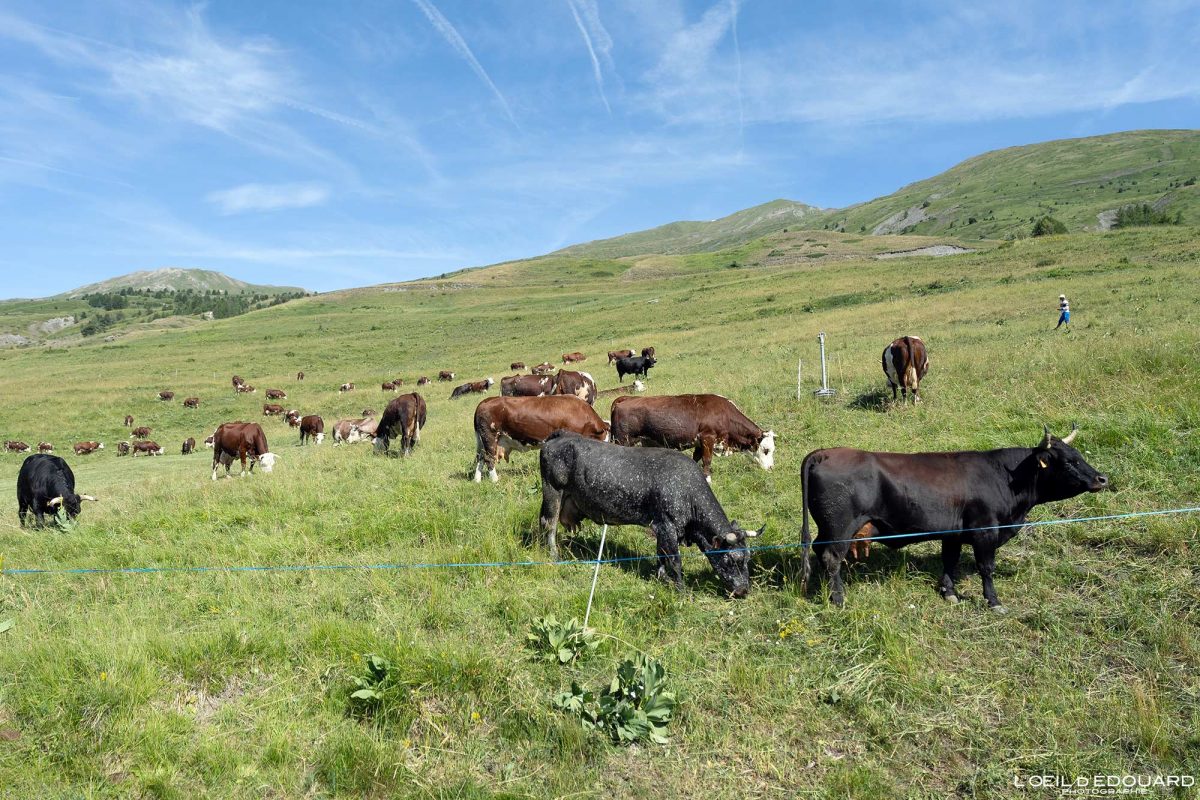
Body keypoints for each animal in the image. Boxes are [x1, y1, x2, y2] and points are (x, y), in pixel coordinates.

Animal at [472, 395, 610, 483]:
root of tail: (485, 401)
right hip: (490, 437)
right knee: (489, 458)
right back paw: (495, 480)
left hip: (482, 441)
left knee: (480, 457)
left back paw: (477, 480)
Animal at [538, 432, 761, 595]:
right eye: (731, 560)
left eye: (748, 558)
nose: (744, 591)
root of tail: (560, 436)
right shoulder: (667, 526)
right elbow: (675, 560)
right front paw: (681, 590)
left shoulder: (660, 527)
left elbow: (661, 554)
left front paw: (661, 577)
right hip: (553, 490)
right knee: (549, 524)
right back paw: (554, 554)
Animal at [610, 394, 775, 482]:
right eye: (766, 450)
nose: (772, 468)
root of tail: (625, 399)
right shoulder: (707, 438)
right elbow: (707, 460)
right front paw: (707, 479)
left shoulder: (699, 442)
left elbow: (696, 458)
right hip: (622, 440)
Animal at [799, 426, 1109, 611]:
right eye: (1067, 462)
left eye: (1078, 455)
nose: (1101, 479)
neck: (1004, 476)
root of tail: (824, 453)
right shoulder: (985, 531)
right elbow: (986, 568)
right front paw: (993, 601)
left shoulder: (953, 533)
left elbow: (950, 560)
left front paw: (948, 592)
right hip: (840, 528)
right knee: (831, 558)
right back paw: (838, 597)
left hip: (828, 528)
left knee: (819, 552)